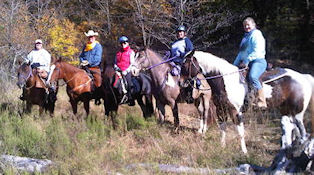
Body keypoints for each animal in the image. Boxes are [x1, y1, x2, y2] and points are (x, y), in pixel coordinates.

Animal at [183, 50, 314, 153]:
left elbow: (240, 132)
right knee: (292, 129)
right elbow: (223, 128)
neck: (225, 80)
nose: (182, 82)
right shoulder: (221, 110)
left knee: (302, 132)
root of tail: (304, 77)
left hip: (298, 113)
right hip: (286, 111)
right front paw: (222, 146)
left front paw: (244, 151)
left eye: (185, 64)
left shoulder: (236, 111)